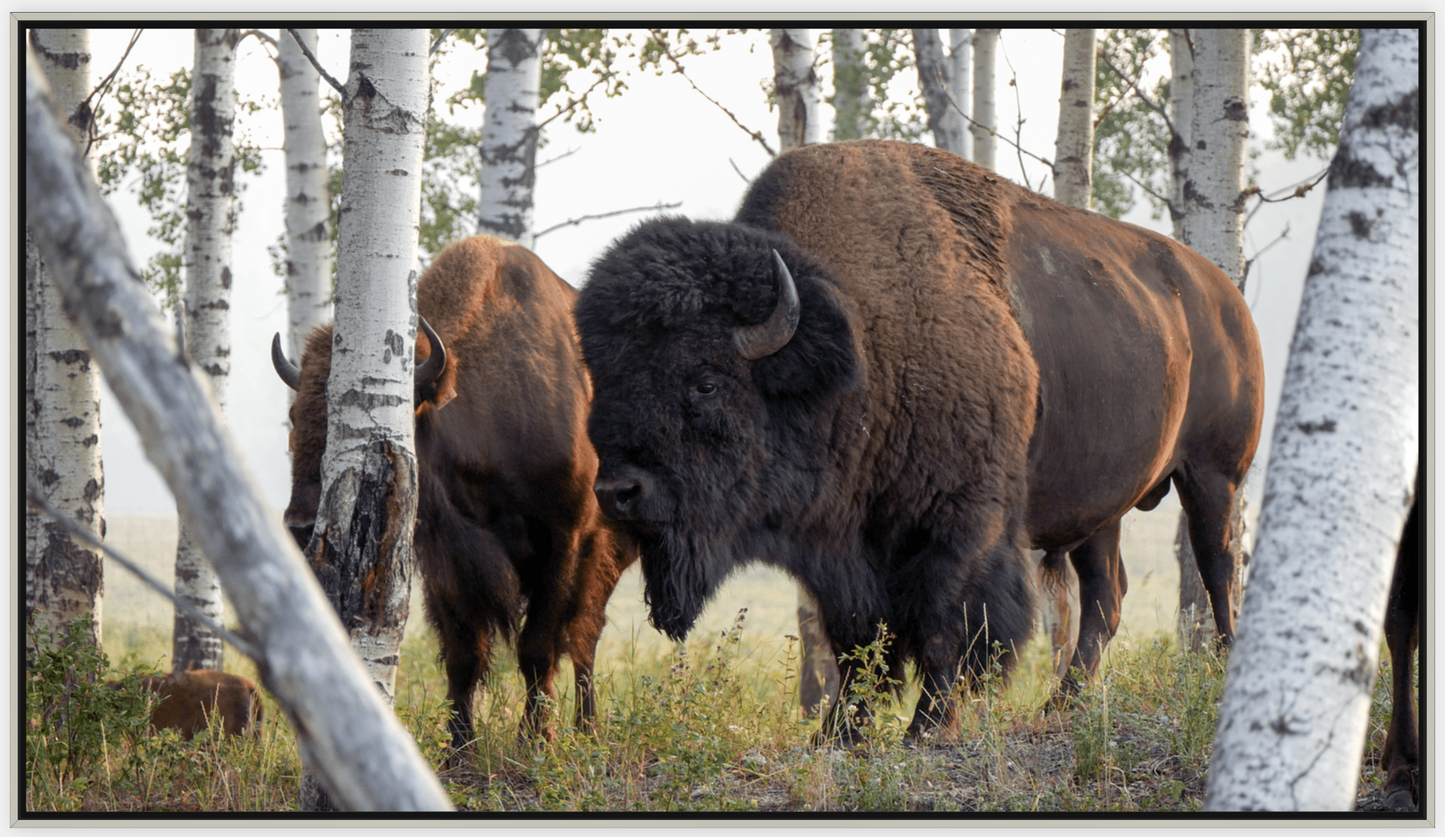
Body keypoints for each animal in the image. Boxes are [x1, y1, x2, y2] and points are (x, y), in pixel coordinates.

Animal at [271, 234, 632, 745]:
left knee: (584, 636)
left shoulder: (565, 538)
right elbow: (464, 654)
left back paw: (586, 729)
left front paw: (534, 740)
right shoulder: (443, 558)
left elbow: (538, 646)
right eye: (295, 416)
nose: (301, 526)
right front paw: (458, 747)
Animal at [575, 139, 1265, 740]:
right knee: (1106, 597)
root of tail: (1226, 296)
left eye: (706, 381)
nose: (617, 491)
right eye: (603, 378)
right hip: (1103, 509)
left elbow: (946, 624)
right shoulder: (843, 550)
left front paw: (927, 728)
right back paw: (1058, 707)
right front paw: (839, 734)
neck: (859, 341)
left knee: (1218, 565)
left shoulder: (960, 525)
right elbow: (856, 643)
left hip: (1214, 476)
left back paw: (1222, 670)